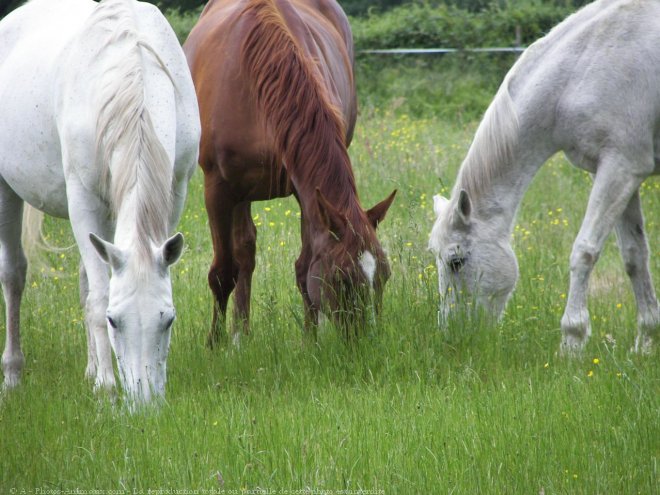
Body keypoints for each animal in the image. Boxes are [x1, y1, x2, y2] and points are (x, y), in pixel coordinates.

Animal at [0, 0, 201, 404]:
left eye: (168, 319)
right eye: (114, 320)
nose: (145, 404)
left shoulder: (174, 193)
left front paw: (99, 377)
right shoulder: (83, 201)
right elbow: (98, 298)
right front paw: (107, 387)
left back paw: (90, 369)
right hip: (6, 191)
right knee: (13, 274)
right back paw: (13, 376)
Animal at [183, 0, 394, 344]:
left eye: (385, 275)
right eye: (342, 277)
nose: (367, 342)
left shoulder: (306, 192)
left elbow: (305, 267)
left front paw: (311, 340)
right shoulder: (218, 188)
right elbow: (222, 272)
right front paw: (214, 344)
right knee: (242, 253)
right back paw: (239, 335)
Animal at [428, 0, 660, 354]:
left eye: (456, 261)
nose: (453, 334)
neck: (584, 66)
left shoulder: (621, 168)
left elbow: (584, 251)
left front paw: (572, 342)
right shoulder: (621, 175)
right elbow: (635, 257)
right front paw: (646, 343)